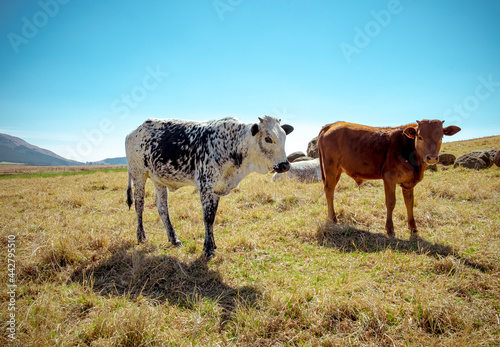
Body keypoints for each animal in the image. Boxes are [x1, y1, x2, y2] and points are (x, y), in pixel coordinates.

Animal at [124, 116, 292, 258]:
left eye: (284, 137)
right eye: (268, 138)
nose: (285, 165)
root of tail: (134, 131)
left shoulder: (217, 188)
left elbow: (213, 217)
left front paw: (212, 244)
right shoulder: (205, 185)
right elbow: (208, 217)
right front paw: (208, 248)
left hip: (158, 180)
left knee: (162, 208)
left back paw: (174, 239)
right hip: (138, 174)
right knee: (139, 205)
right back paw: (141, 236)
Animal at [320, 121, 460, 238]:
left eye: (441, 137)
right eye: (420, 137)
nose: (432, 158)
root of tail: (332, 124)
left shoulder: (408, 182)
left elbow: (409, 203)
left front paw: (413, 227)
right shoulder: (389, 178)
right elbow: (391, 202)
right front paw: (390, 229)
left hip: (338, 170)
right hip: (331, 168)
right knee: (329, 191)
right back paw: (333, 219)